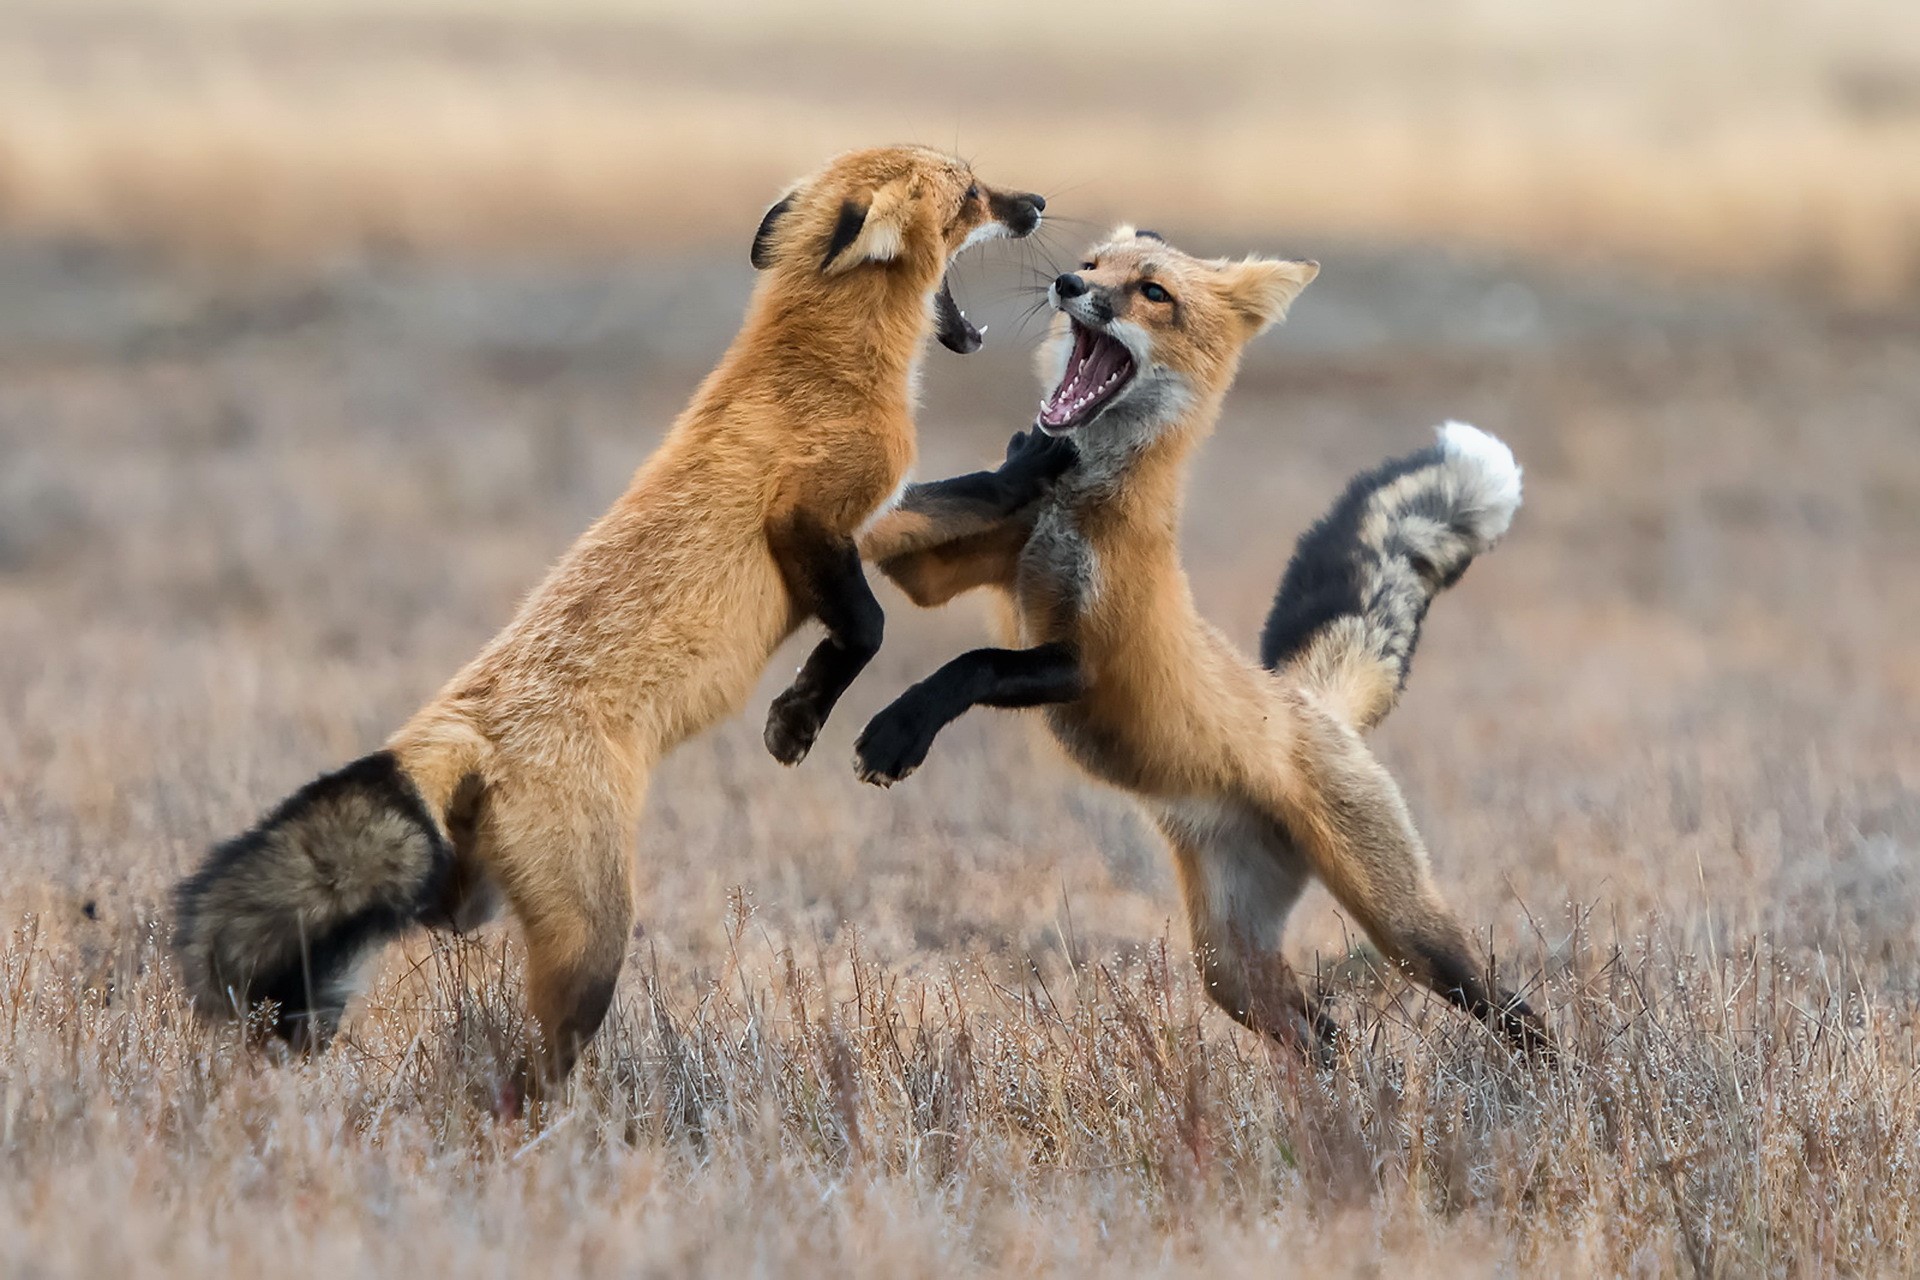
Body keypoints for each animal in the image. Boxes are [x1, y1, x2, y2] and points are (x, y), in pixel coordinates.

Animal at [172, 146, 1055, 1095]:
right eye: (971, 190)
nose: (1038, 203)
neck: (817, 367)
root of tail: (457, 725)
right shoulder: (806, 520)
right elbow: (867, 628)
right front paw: (797, 721)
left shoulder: (878, 517)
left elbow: (966, 502)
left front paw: (1044, 457)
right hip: (593, 940)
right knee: (531, 1075)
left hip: (472, 898)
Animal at [854, 228, 1550, 1057]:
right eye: (1092, 266)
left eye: (1152, 293)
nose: (1065, 285)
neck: (1080, 511)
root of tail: (1309, 702)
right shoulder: (946, 570)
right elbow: (937, 515)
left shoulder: (1091, 663)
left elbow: (974, 664)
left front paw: (899, 731)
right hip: (1232, 970)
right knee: (1330, 1037)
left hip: (1407, 931)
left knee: (1513, 1012)